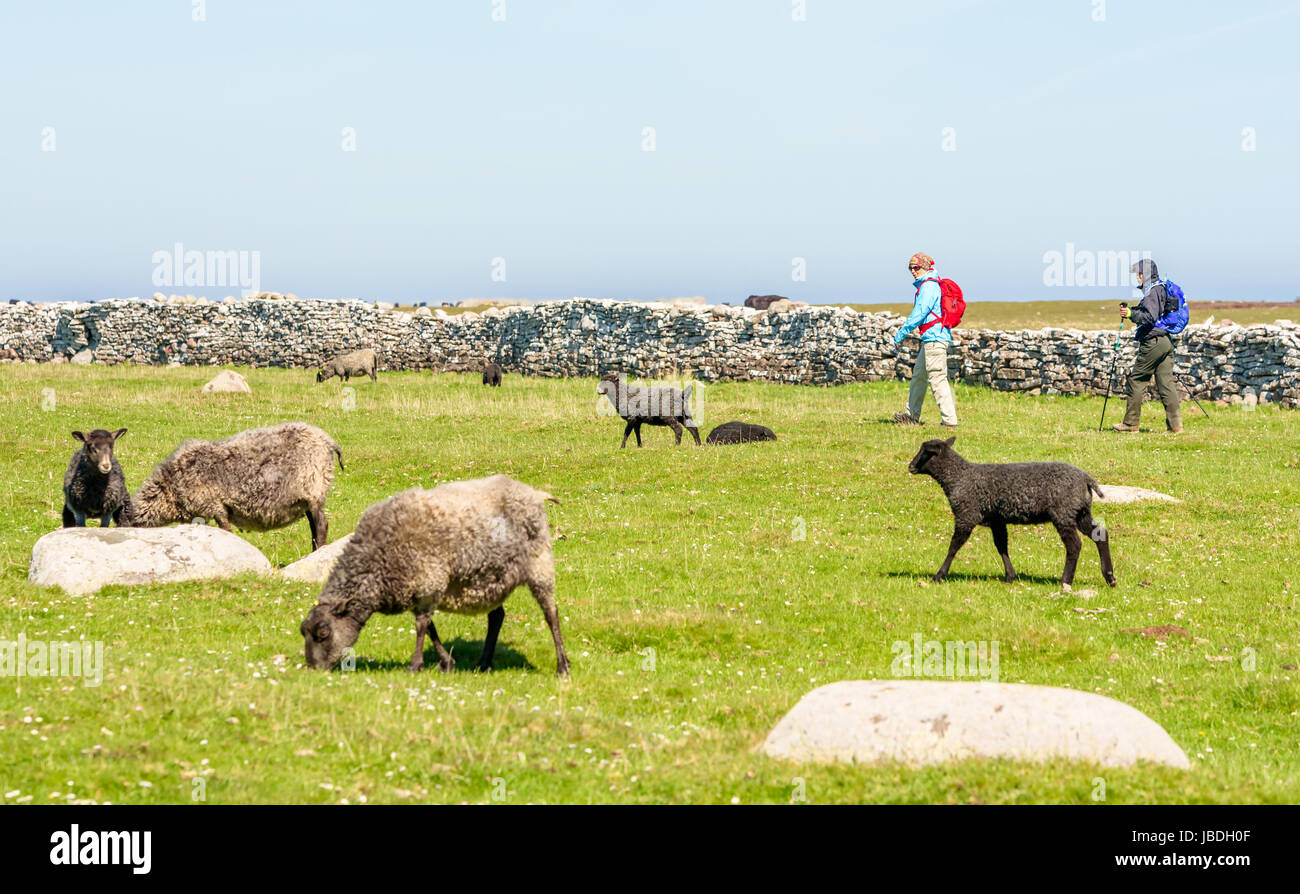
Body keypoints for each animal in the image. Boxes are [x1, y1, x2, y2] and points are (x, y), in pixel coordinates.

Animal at [122, 421, 340, 550]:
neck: (170, 487)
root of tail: (328, 441)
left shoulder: (214, 506)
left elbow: (225, 531)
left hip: (313, 487)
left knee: (321, 526)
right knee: (314, 527)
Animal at [304, 478, 574, 675]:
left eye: (323, 634)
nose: (313, 670)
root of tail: (534, 492)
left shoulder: (429, 579)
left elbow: (422, 625)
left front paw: (416, 665)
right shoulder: (420, 589)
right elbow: (430, 626)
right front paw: (447, 662)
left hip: (539, 563)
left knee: (551, 614)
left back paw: (562, 666)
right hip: (492, 578)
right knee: (497, 616)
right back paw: (483, 664)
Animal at [904, 439, 1118, 589]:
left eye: (925, 453)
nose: (910, 466)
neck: (959, 477)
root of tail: (1086, 479)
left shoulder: (966, 515)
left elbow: (954, 546)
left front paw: (939, 575)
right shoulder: (997, 520)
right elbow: (1001, 546)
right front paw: (1010, 576)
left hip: (1063, 514)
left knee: (1074, 545)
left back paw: (1065, 580)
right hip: (1080, 512)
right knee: (1100, 534)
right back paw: (1109, 577)